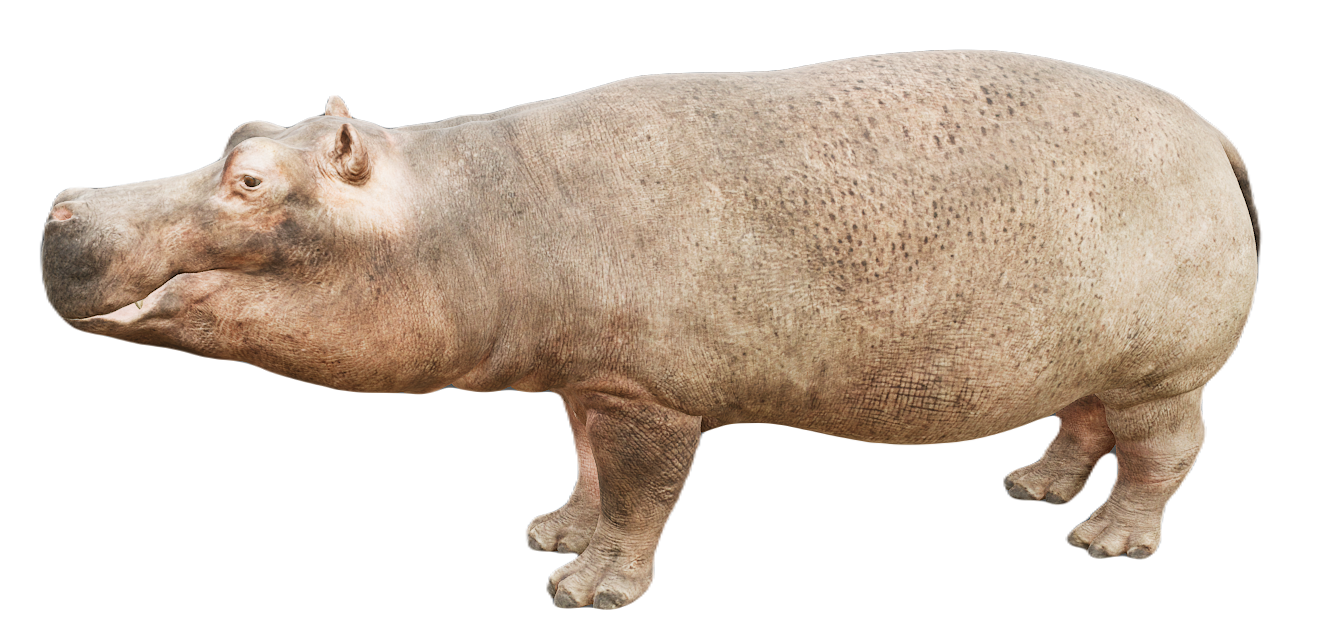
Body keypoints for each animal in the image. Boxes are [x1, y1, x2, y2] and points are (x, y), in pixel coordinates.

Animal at [42, 50, 1260, 609]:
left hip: (1165, 369)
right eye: (241, 130)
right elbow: (583, 466)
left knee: (1165, 451)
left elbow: (639, 491)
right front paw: (551, 533)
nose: (63, 201)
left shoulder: (651, 394)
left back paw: (1104, 544)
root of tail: (1212, 133)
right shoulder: (587, 377)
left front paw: (587, 590)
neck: (462, 210)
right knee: (1082, 422)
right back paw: (1033, 490)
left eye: (249, 179)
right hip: (1088, 352)